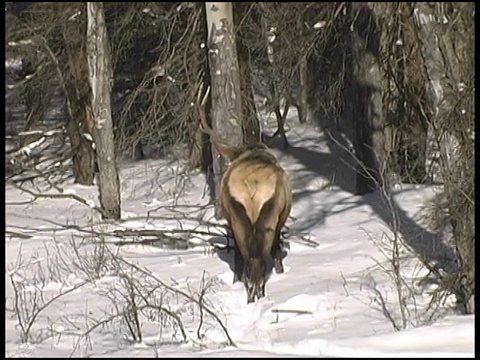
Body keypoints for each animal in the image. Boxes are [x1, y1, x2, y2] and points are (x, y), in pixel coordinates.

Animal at [198, 85, 292, 304]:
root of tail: (253, 186)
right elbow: (275, 254)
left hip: (238, 217)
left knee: (249, 261)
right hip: (268, 217)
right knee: (258, 263)